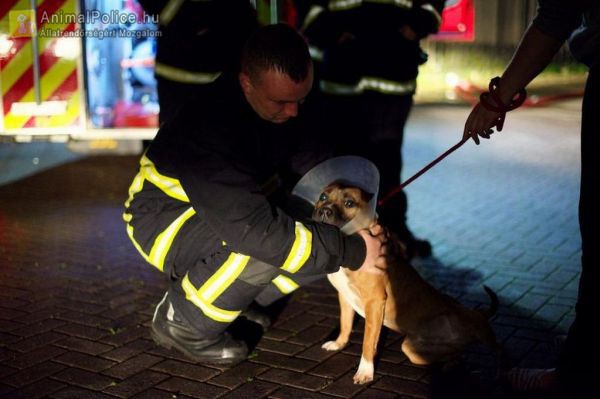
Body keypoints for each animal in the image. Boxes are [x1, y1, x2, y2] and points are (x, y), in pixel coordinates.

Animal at [314, 181, 502, 384]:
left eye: (349, 203)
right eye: (323, 197)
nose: (324, 211)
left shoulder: (374, 302)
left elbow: (367, 342)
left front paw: (365, 371)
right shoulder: (345, 297)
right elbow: (345, 323)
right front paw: (339, 343)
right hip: (414, 350)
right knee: (456, 355)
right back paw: (451, 364)